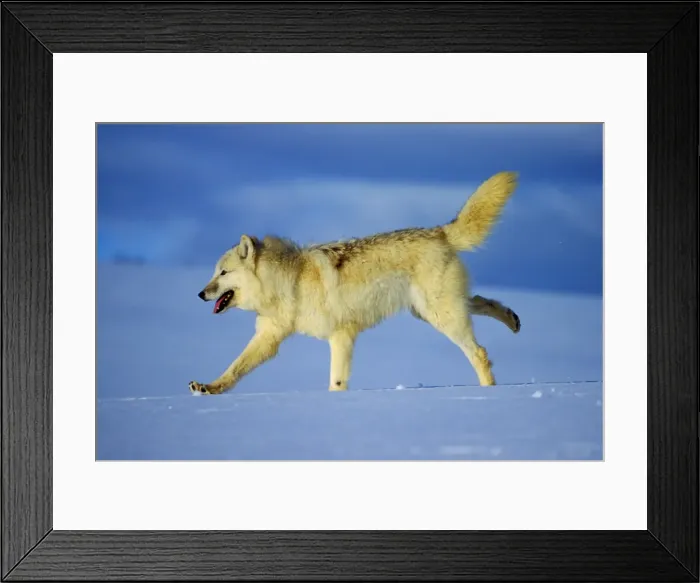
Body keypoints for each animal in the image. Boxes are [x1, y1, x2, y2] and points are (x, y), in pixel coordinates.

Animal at [190, 171, 520, 395]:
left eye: (223, 273)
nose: (201, 294)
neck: (290, 281)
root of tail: (438, 231)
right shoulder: (269, 337)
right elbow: (234, 369)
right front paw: (207, 387)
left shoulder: (341, 335)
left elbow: (336, 382)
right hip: (428, 312)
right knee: (483, 303)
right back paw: (513, 321)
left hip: (441, 316)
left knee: (479, 352)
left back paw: (490, 393)